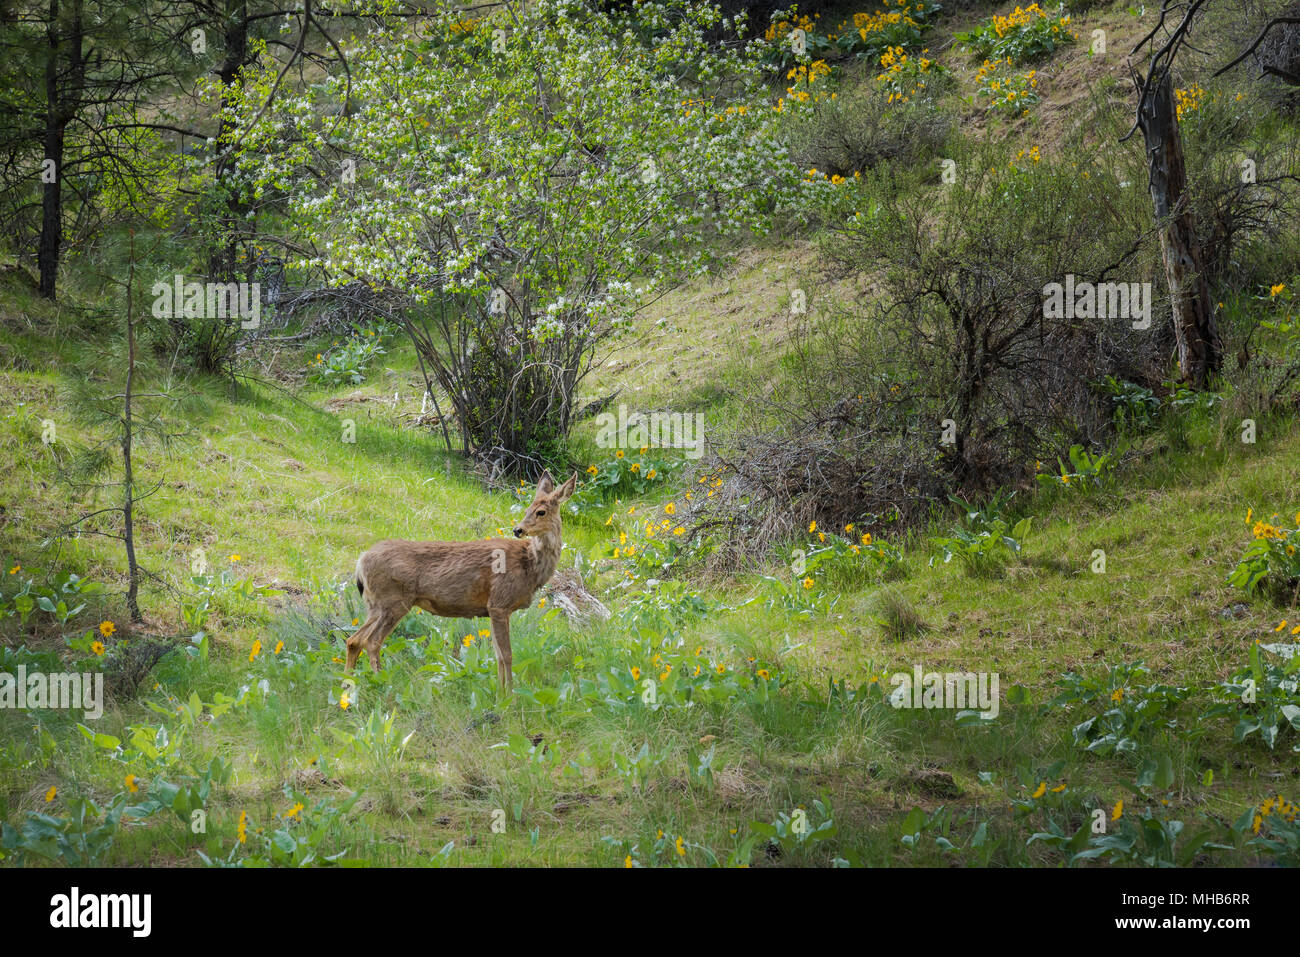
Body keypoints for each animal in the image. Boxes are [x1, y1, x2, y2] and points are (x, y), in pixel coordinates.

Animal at [345, 470, 574, 686]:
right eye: (528, 510)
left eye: (540, 511)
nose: (518, 530)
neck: (530, 566)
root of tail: (361, 561)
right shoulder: (499, 603)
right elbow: (507, 656)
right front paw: (509, 695)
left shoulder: (494, 609)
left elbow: (498, 656)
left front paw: (500, 692)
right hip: (394, 601)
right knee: (372, 641)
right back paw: (383, 681)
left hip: (376, 604)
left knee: (353, 640)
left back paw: (347, 682)